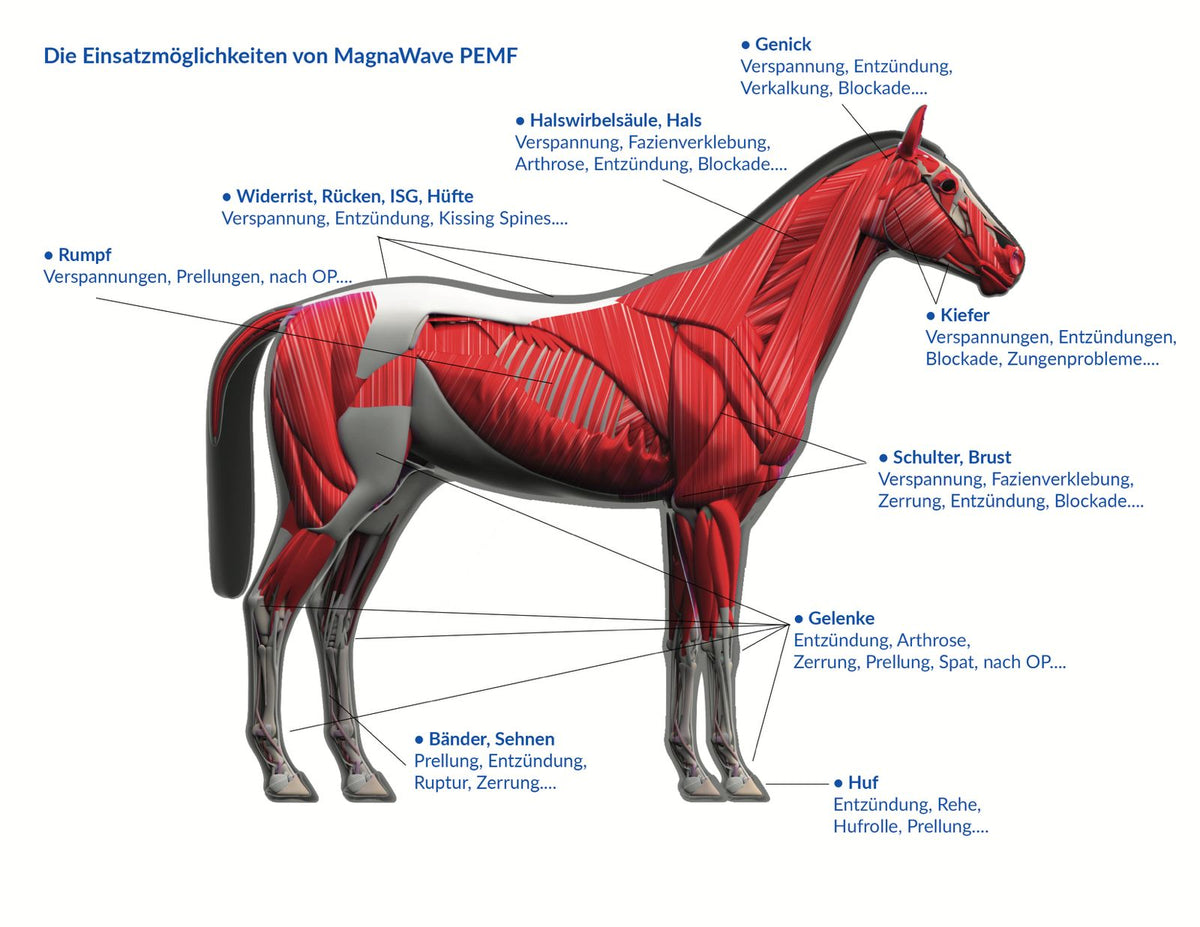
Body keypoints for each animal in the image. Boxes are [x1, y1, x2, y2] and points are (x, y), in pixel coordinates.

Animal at [207, 106, 1023, 802]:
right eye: (944, 184)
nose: (1012, 260)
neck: (741, 330)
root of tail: (297, 314)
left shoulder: (681, 514)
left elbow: (681, 641)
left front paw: (693, 774)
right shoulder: (718, 513)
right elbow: (723, 639)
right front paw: (739, 775)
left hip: (388, 505)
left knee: (333, 618)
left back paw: (360, 772)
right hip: (330, 500)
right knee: (270, 606)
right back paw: (284, 773)